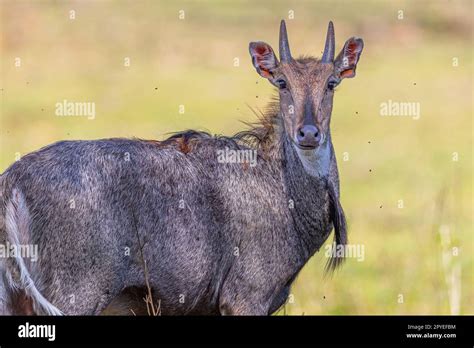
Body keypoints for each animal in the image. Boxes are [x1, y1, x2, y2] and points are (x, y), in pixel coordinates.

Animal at [0, 21, 362, 316]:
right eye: (282, 82)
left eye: (331, 83)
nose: (309, 133)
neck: (282, 187)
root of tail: (12, 181)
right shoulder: (246, 296)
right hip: (74, 295)